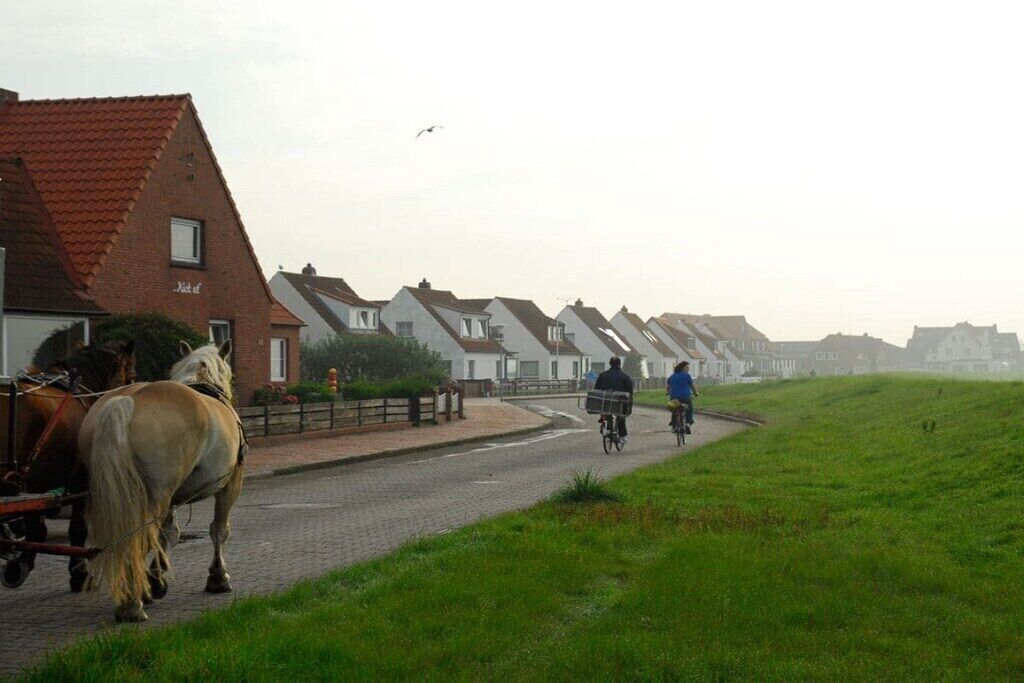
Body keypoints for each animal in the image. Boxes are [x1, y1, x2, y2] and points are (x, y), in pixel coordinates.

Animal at [0, 340, 136, 590]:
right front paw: (79, 572)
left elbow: (37, 527)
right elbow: (78, 528)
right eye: (131, 376)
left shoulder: (34, 484)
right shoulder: (81, 481)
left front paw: (20, 565)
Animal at [80, 340, 245, 622]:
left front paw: (155, 580)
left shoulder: (173, 498)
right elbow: (218, 530)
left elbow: (169, 534)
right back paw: (132, 604)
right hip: (157, 495)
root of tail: (127, 401)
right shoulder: (230, 485)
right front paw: (217, 577)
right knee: (140, 535)